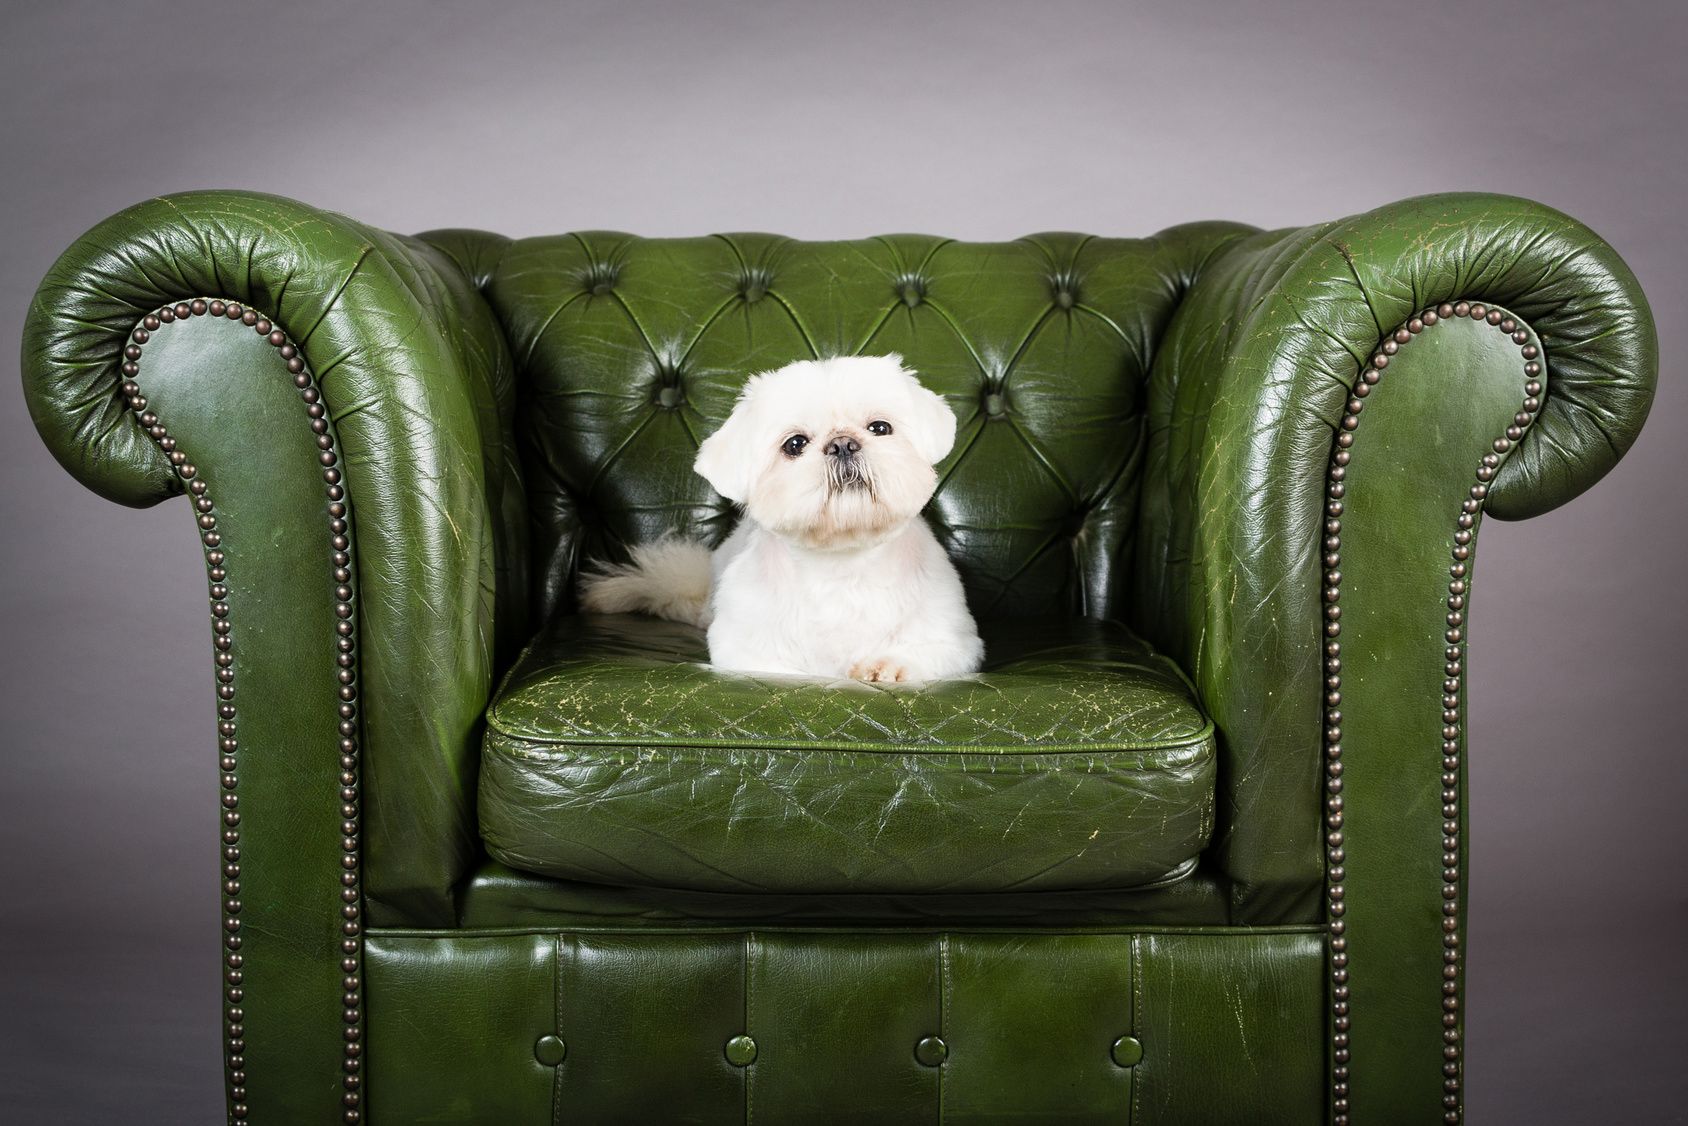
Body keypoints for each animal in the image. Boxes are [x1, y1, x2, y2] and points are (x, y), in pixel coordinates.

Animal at [580, 356, 985, 682]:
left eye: (880, 428)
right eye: (795, 444)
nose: (842, 444)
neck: (841, 567)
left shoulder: (954, 641)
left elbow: (922, 652)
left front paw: (885, 666)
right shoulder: (747, 651)